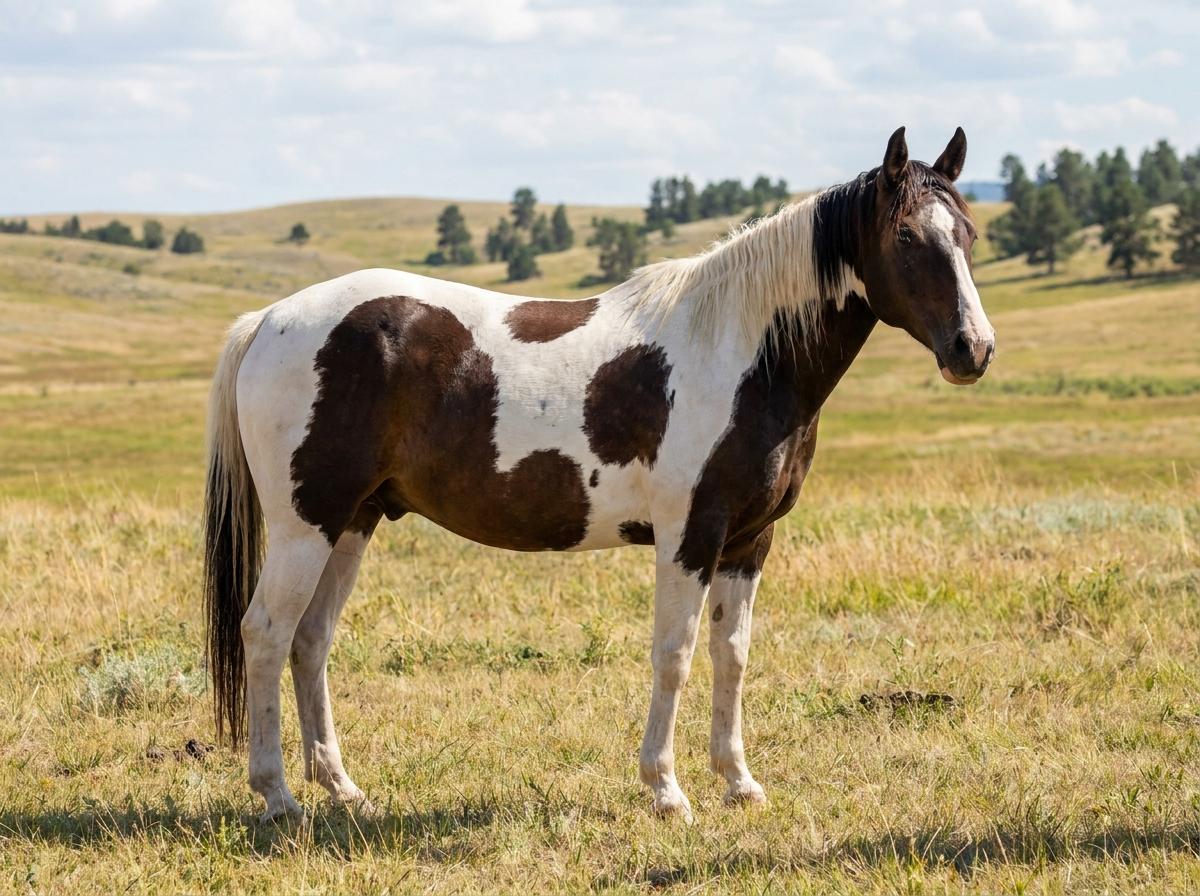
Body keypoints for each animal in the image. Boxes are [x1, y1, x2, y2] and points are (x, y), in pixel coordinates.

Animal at [203, 126, 995, 823]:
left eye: (968, 236)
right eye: (906, 238)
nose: (974, 349)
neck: (742, 355)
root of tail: (268, 320)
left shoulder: (748, 543)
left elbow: (732, 657)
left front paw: (738, 783)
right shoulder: (689, 537)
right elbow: (675, 655)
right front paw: (666, 791)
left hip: (353, 522)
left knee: (310, 640)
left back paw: (343, 789)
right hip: (306, 525)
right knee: (267, 633)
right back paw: (278, 796)